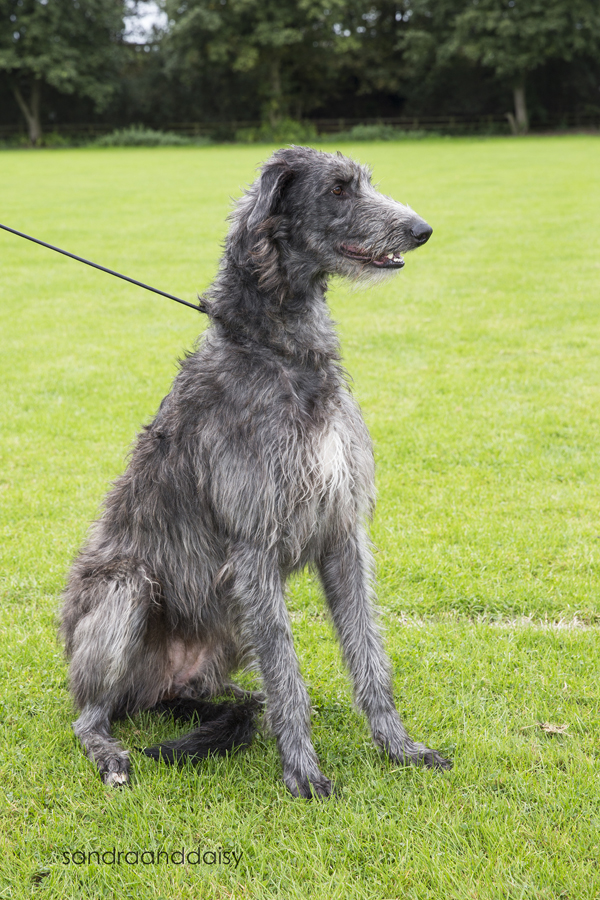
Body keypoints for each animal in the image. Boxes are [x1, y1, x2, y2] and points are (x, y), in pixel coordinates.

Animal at [59, 144, 450, 800]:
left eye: (364, 180)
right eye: (339, 189)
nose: (421, 230)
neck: (283, 354)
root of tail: (157, 688)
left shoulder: (342, 532)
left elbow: (368, 655)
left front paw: (398, 747)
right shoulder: (254, 545)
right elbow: (289, 674)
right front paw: (304, 773)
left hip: (228, 627)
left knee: (232, 691)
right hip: (126, 589)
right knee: (88, 713)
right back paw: (109, 751)